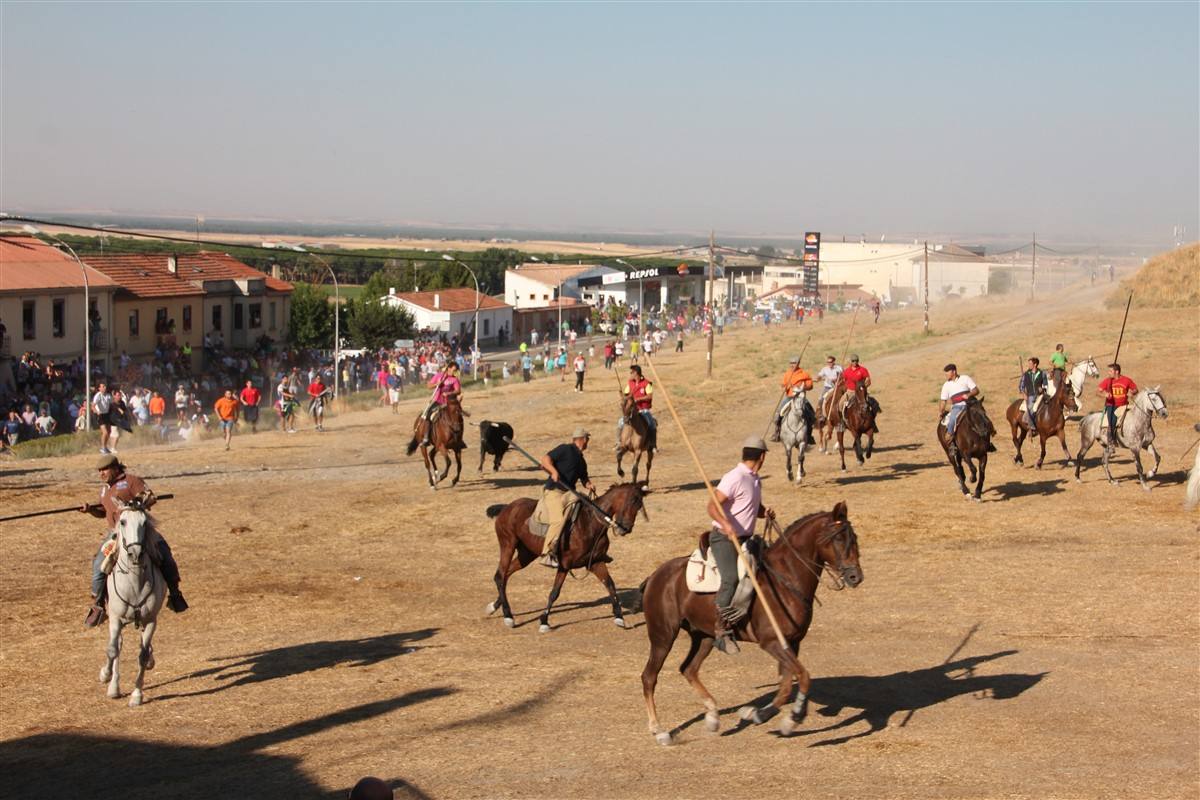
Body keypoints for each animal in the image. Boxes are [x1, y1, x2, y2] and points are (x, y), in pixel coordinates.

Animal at [100, 501, 166, 705]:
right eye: (122, 522)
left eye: (144, 523)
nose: (135, 553)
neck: (134, 583)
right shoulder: (115, 619)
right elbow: (112, 650)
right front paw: (107, 676)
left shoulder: (151, 620)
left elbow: (142, 656)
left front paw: (137, 695)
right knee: (118, 646)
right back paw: (113, 685)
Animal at [484, 482, 648, 633]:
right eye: (632, 501)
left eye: (639, 505)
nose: (625, 529)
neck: (590, 523)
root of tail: (507, 507)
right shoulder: (565, 565)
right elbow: (555, 592)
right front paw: (544, 621)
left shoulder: (596, 562)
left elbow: (610, 585)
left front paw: (619, 617)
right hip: (508, 545)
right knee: (500, 575)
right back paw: (508, 616)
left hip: (526, 554)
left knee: (506, 574)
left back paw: (494, 606)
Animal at [638, 506, 864, 743]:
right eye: (838, 538)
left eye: (854, 538)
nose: (855, 576)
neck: (786, 580)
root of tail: (654, 576)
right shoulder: (772, 642)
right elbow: (803, 676)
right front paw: (791, 717)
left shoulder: (792, 643)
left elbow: (787, 684)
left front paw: (762, 715)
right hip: (663, 635)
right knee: (649, 677)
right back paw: (659, 730)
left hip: (703, 636)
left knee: (689, 669)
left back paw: (712, 716)